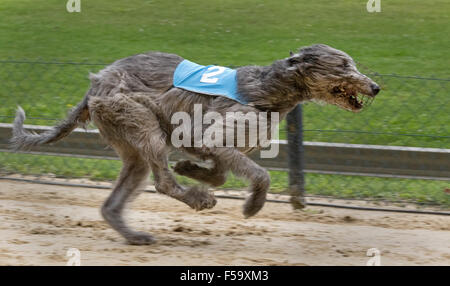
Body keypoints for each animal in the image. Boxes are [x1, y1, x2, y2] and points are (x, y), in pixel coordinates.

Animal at [10, 44, 380, 244]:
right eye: (343, 64)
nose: (376, 87)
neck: (270, 89)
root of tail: (95, 83)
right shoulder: (211, 134)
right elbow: (260, 175)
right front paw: (252, 206)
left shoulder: (213, 145)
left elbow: (220, 172)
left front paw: (189, 167)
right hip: (141, 122)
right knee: (162, 182)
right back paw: (198, 199)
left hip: (131, 144)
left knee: (116, 199)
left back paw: (135, 234)